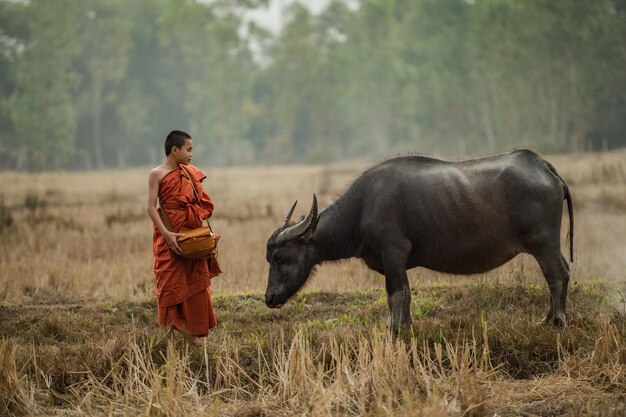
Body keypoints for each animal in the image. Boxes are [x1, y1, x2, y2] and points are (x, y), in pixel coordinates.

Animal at [262, 150, 572, 332]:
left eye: (279, 257)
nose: (269, 298)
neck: (362, 208)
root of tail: (544, 166)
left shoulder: (393, 253)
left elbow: (395, 295)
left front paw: (394, 331)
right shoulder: (399, 262)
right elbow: (408, 295)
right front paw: (407, 328)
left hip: (543, 242)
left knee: (556, 275)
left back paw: (557, 321)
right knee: (561, 273)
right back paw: (546, 318)